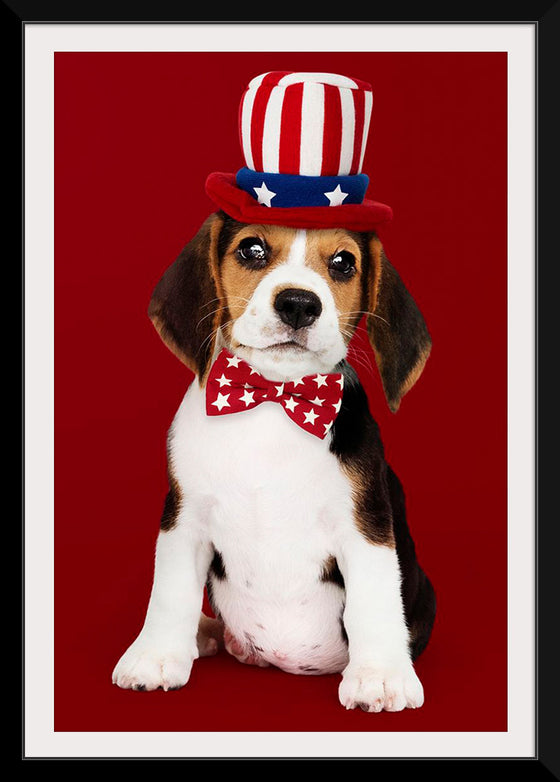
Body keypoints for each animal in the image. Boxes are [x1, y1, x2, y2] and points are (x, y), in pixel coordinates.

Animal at [111, 211, 436, 712]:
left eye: (344, 262)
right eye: (252, 250)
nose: (299, 304)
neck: (272, 399)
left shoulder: (366, 526)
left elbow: (374, 599)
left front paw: (380, 676)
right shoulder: (184, 517)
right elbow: (169, 592)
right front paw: (156, 655)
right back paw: (204, 634)